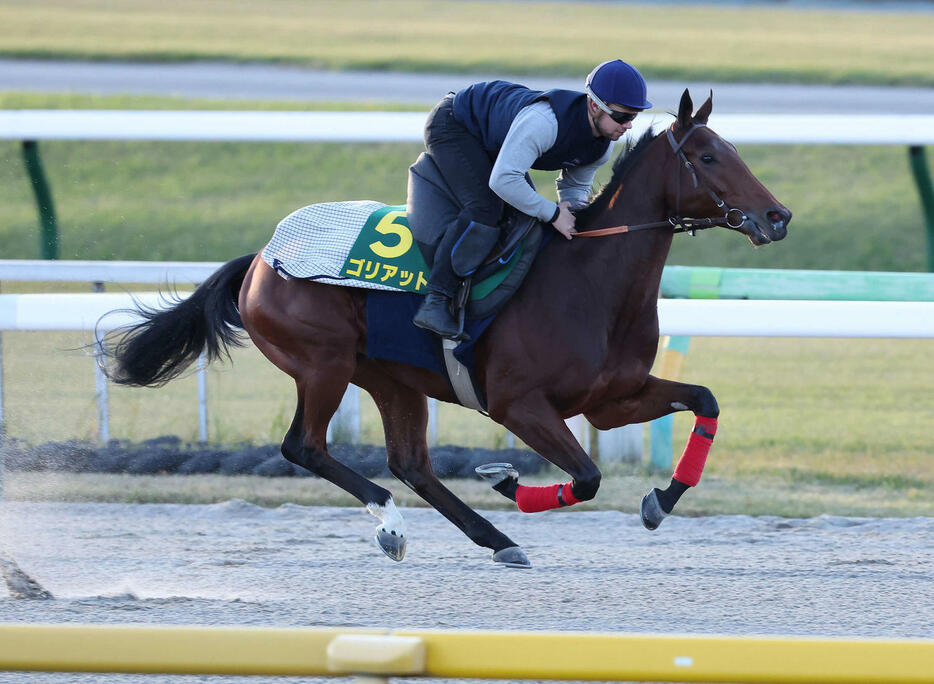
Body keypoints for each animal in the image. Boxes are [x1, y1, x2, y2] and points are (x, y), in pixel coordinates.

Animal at [102, 92, 788, 572]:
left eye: (735, 150)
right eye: (708, 156)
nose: (777, 216)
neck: (588, 280)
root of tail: (263, 258)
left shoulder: (610, 398)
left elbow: (705, 401)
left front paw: (659, 501)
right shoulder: (517, 404)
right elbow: (588, 477)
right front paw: (511, 480)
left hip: (390, 378)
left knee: (411, 463)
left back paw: (497, 539)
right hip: (324, 363)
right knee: (305, 447)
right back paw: (393, 526)